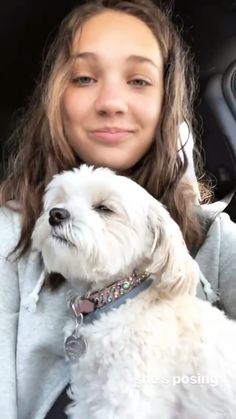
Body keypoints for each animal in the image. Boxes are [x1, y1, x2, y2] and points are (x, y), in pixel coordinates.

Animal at [32, 165, 236, 419]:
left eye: (104, 209)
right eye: (61, 199)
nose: (55, 214)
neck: (116, 298)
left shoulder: (129, 398)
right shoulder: (90, 394)